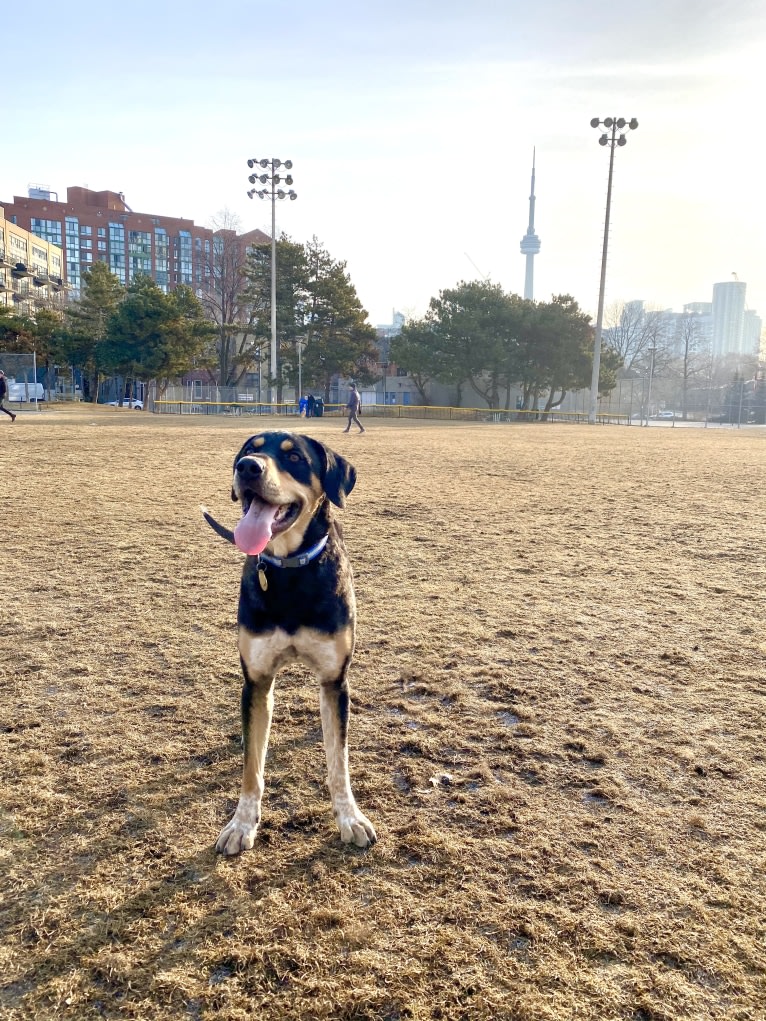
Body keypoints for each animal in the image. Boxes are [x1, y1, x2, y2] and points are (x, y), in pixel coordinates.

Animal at [201, 428, 375, 853]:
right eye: (249, 451)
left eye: (294, 457)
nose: (247, 468)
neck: (290, 572)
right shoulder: (257, 680)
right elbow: (252, 767)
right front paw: (242, 823)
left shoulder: (333, 679)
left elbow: (338, 762)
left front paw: (350, 817)